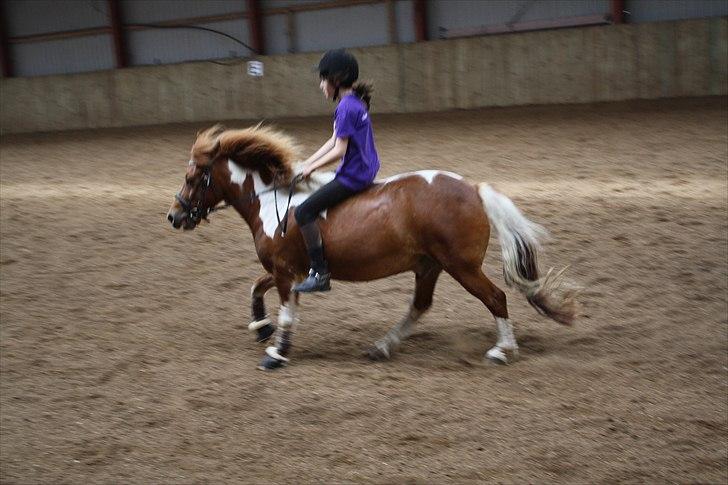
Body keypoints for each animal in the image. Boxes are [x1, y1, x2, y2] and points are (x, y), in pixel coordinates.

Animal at [166, 124, 578, 370]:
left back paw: (501, 350)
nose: (174, 216)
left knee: (495, 298)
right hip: (428, 264)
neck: (271, 202)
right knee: (420, 305)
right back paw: (382, 346)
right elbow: (255, 287)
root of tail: (473, 189)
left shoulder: (286, 272)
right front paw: (260, 327)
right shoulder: (289, 270)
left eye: (192, 177)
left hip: (461, 266)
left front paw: (276, 353)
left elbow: (286, 313)